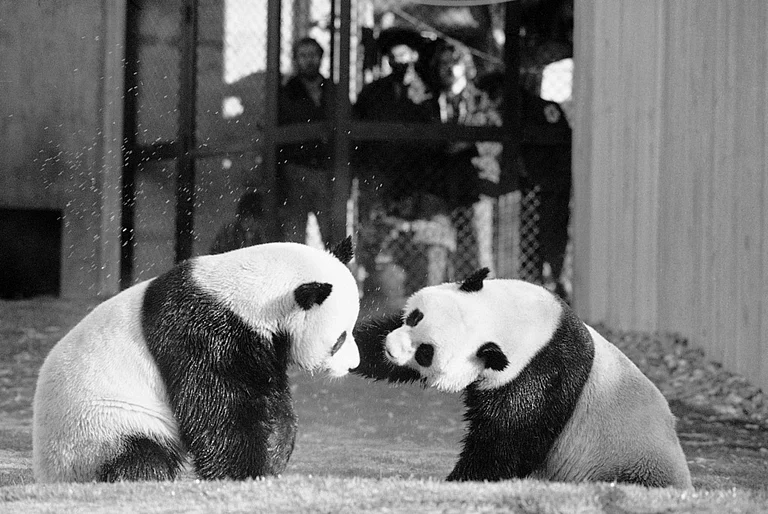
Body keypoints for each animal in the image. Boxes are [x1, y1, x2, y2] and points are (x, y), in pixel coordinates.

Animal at [33, 238, 361, 483]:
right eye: (340, 339)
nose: (354, 365)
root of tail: (50, 476)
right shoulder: (204, 333)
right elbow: (218, 406)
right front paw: (242, 472)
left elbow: (271, 399)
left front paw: (274, 454)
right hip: (101, 426)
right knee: (140, 455)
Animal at [353, 268, 692, 488]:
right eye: (415, 317)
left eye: (426, 352)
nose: (391, 349)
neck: (513, 323)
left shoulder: (539, 374)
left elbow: (506, 441)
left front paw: (457, 482)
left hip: (629, 463)